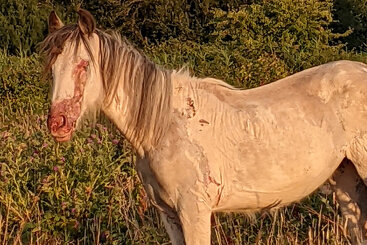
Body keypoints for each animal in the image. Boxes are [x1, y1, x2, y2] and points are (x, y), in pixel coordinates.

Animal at [43, 8, 367, 244]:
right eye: (51, 67)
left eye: (84, 65)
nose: (57, 124)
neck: (163, 127)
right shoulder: (169, 215)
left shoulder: (194, 210)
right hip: (346, 179)